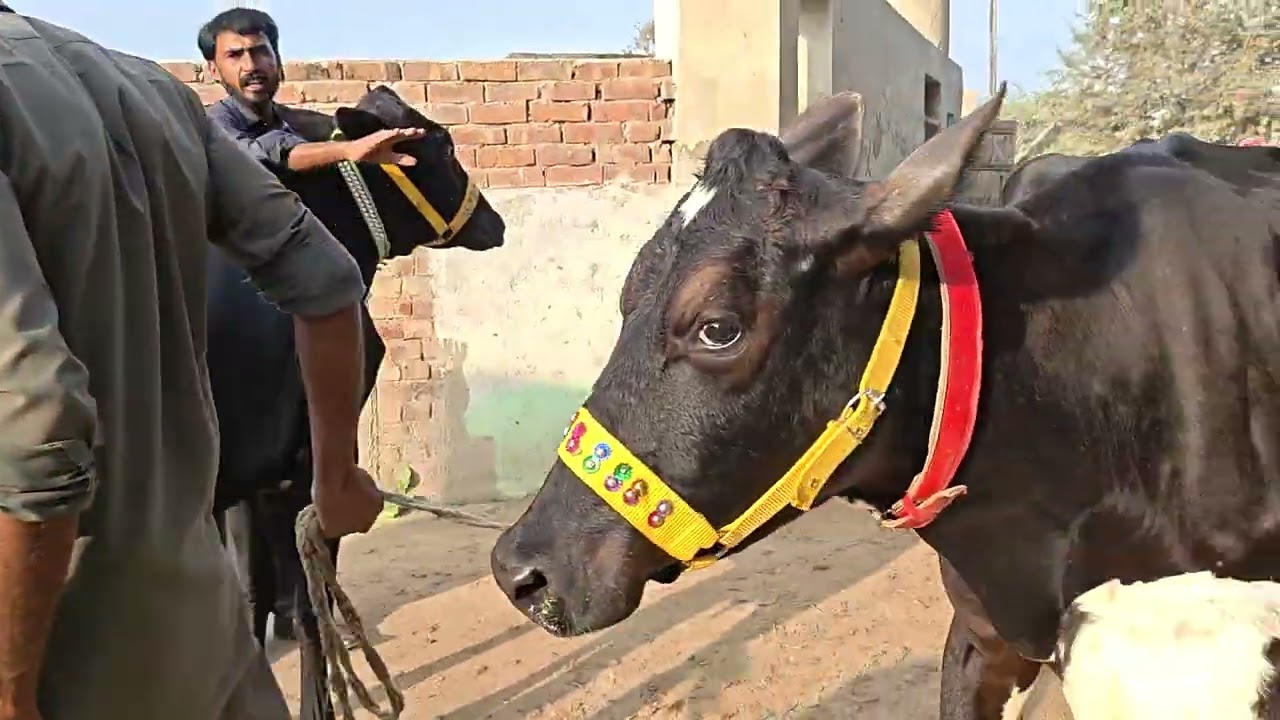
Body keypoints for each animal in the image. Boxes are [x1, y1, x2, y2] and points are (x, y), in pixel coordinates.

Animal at [208, 84, 506, 720]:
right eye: (445, 145)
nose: (494, 222)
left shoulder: (254, 483)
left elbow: (260, 594)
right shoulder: (309, 468)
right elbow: (306, 606)